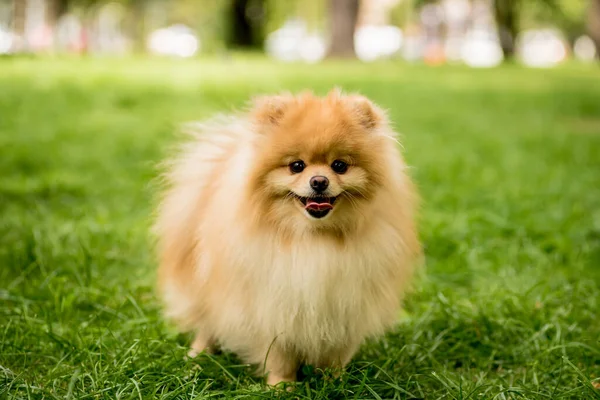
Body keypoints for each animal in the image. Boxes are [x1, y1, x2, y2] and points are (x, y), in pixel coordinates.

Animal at [157, 89, 420, 386]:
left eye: (339, 165)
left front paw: (335, 383)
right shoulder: (273, 307)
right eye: (296, 166)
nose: (319, 181)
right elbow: (279, 355)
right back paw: (198, 357)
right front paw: (281, 386)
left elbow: (335, 355)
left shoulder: (345, 308)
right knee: (206, 324)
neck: (314, 238)